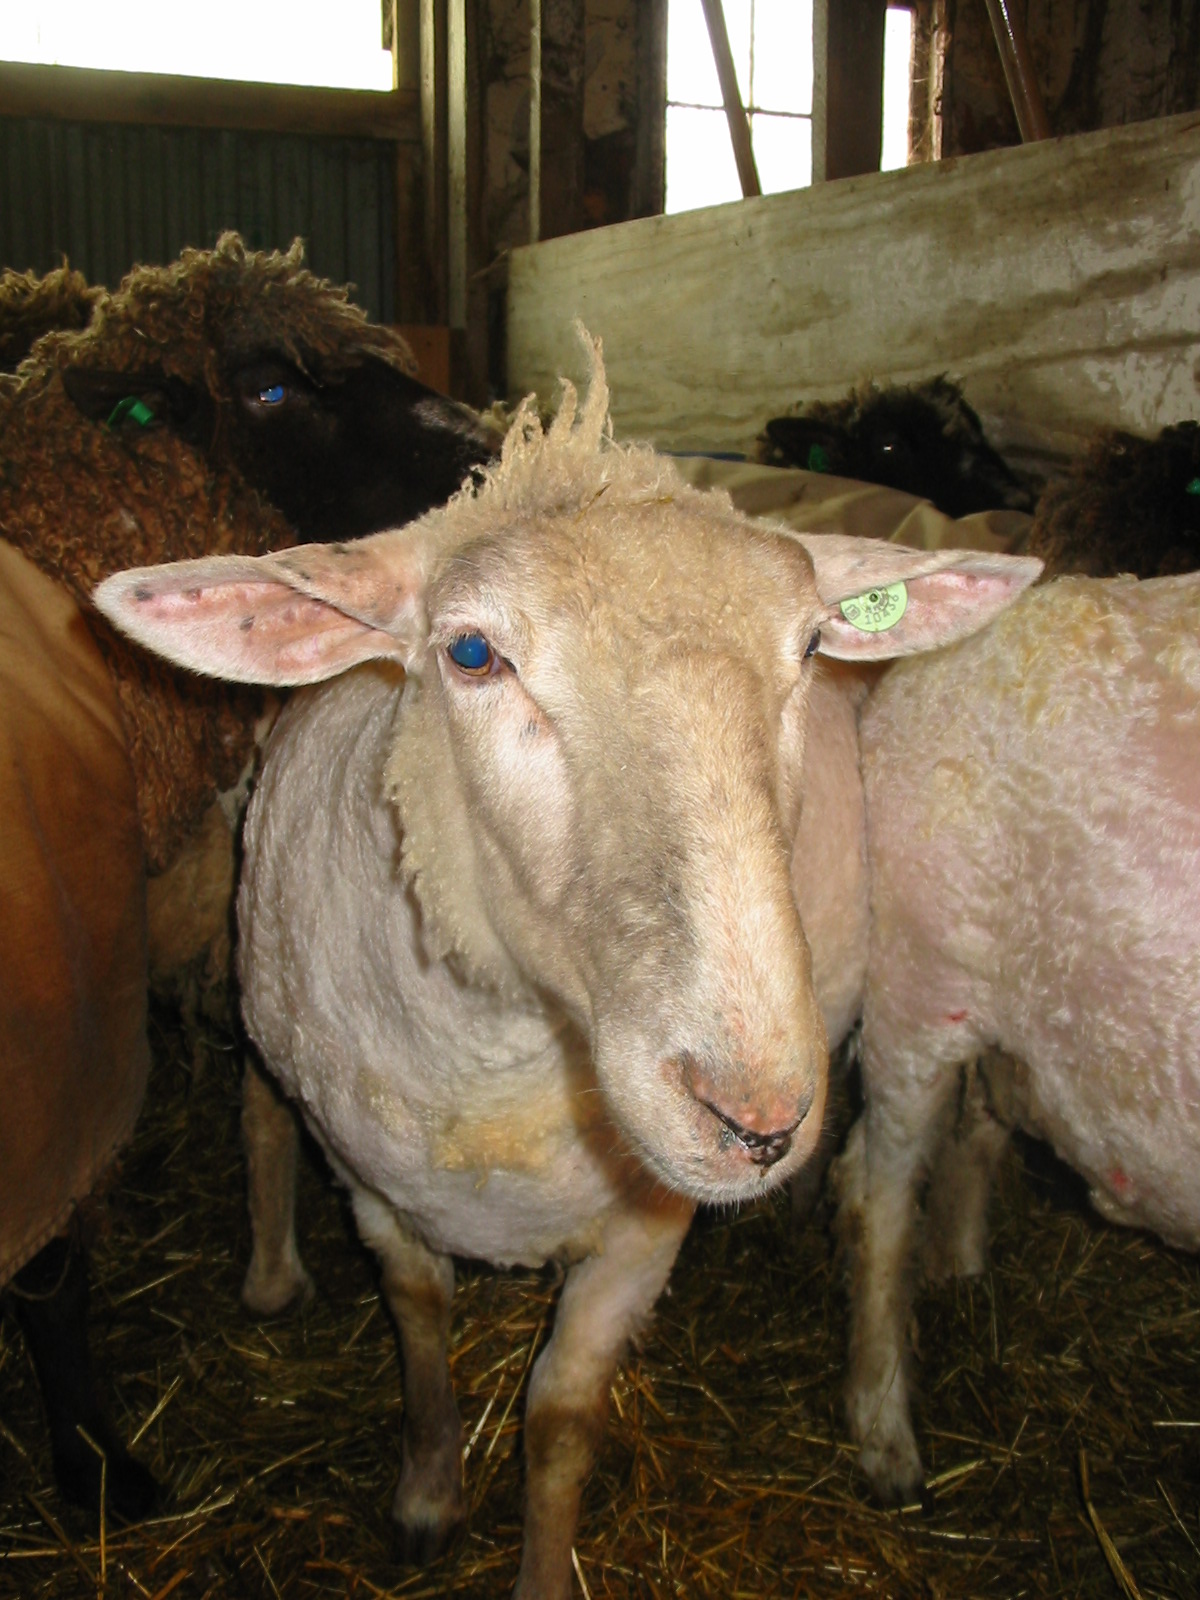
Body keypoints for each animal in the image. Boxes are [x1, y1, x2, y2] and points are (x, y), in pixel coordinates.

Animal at [94, 331, 1041, 1597]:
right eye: (471, 653)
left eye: (809, 647)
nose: (756, 1117)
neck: (501, 1067)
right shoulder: (375, 1185)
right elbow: (419, 1318)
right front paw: (428, 1496)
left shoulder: (643, 1234)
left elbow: (557, 1419)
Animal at [835, 569, 1200, 1507]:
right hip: (920, 982)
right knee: (880, 1195)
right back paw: (886, 1440)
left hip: (1012, 1010)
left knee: (982, 1122)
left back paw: (961, 1265)